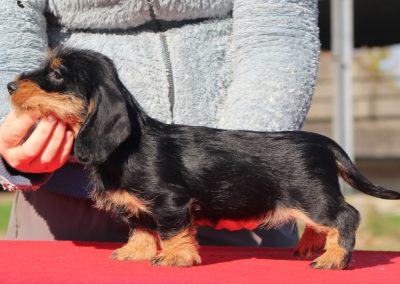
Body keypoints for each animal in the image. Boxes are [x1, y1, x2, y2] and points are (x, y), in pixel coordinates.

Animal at [7, 47, 400, 270]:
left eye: (57, 74)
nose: (10, 86)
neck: (129, 147)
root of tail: (325, 142)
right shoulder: (140, 207)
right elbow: (141, 228)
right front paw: (134, 252)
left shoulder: (170, 200)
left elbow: (172, 230)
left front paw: (175, 257)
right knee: (324, 224)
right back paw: (310, 248)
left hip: (313, 197)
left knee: (345, 217)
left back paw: (333, 258)